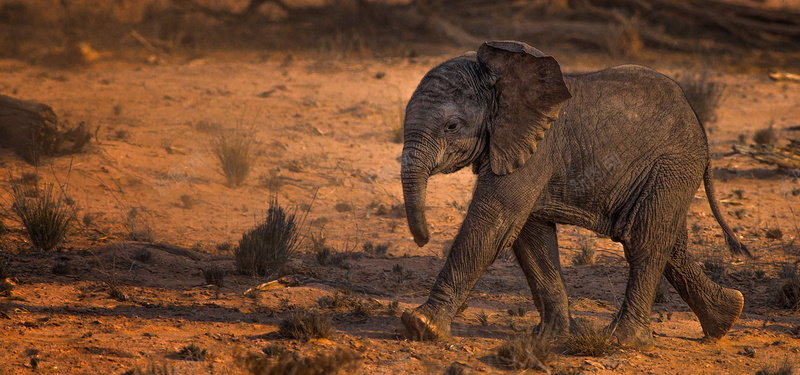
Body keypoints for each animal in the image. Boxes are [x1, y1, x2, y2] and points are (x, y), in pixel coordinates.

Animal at [404, 39, 748, 352]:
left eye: (451, 126)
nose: (424, 238)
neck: (499, 78)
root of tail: (701, 128)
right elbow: (531, 237)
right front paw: (548, 338)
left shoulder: (536, 149)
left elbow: (493, 225)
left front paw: (422, 325)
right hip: (669, 174)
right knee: (671, 244)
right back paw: (727, 317)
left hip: (671, 166)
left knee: (644, 240)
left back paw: (623, 341)